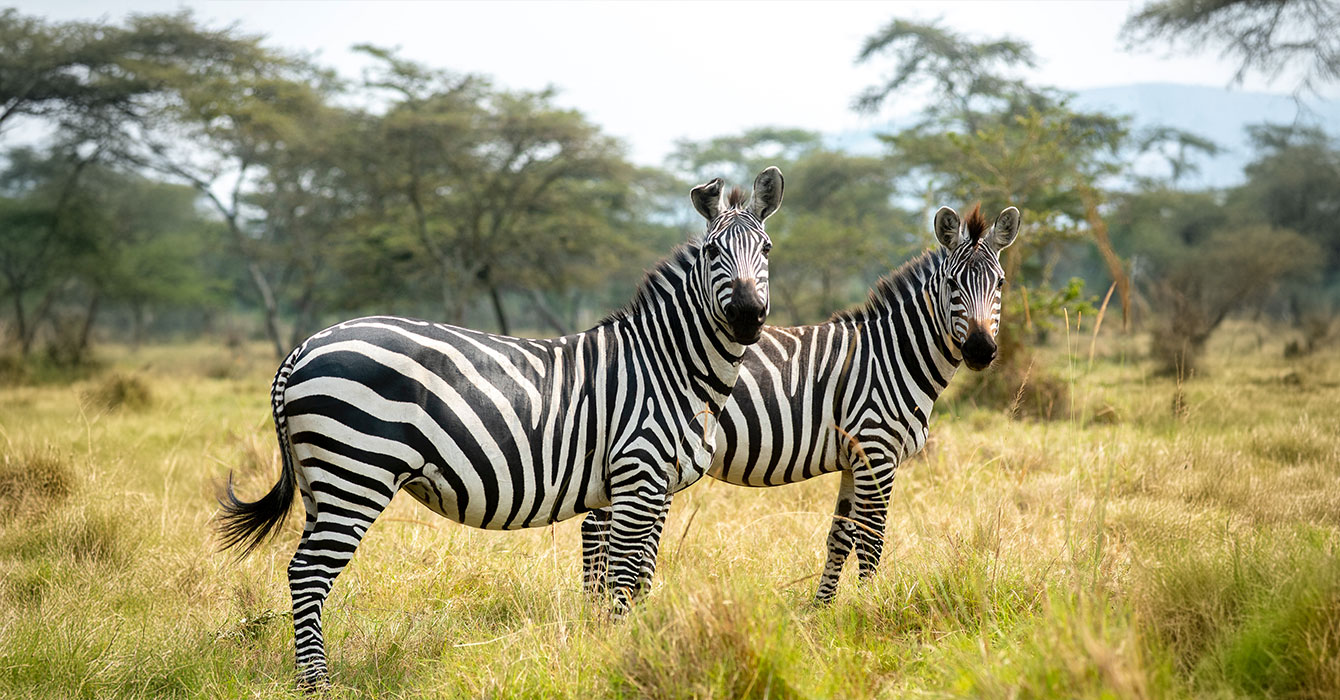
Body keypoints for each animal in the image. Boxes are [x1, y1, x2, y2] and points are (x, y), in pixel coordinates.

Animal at [215, 167, 782, 681]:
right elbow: (623, 581)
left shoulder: (655, 489)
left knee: (301, 569)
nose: (749, 316)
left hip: (322, 481)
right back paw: (317, 684)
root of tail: (306, 345)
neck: (669, 366)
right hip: (357, 471)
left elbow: (636, 580)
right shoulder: (638, 477)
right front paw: (626, 655)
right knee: (309, 573)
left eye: (768, 249)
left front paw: (627, 648)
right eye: (712, 253)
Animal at [581, 199, 1018, 598]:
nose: (980, 350)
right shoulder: (876, 449)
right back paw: (595, 609)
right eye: (953, 284)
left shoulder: (853, 457)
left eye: (999, 284)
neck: (894, 354)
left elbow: (841, 536)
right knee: (596, 527)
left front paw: (824, 608)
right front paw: (872, 605)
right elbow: (871, 539)